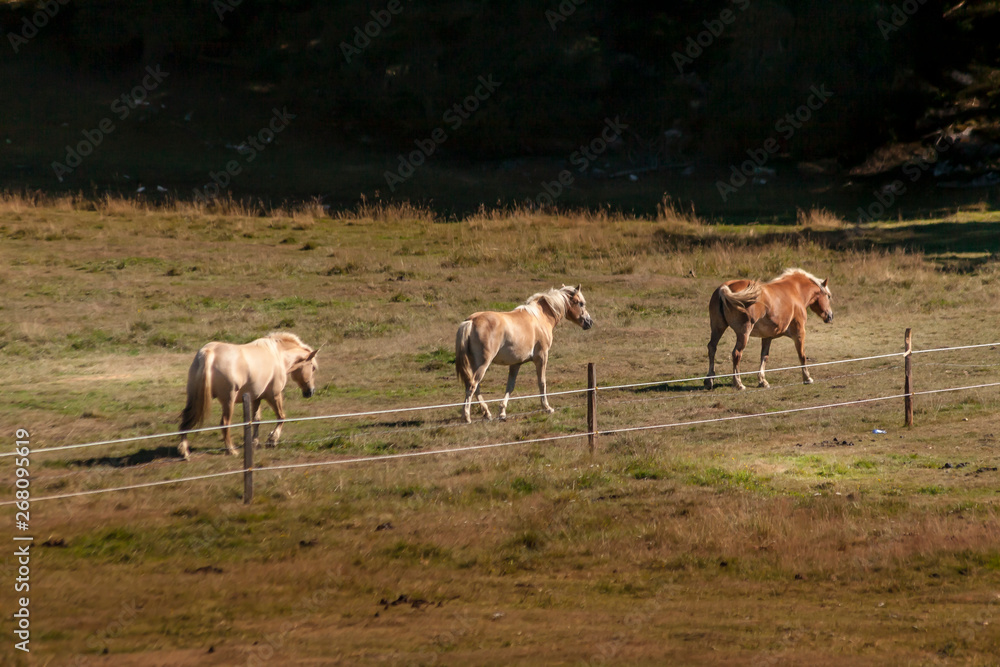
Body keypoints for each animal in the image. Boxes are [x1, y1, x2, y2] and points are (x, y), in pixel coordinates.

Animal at [178, 332, 319, 460]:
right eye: (313, 368)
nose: (310, 391)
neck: (278, 355)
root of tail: (209, 352)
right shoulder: (274, 395)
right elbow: (281, 417)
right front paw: (272, 440)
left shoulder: (256, 398)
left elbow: (256, 420)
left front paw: (254, 443)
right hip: (228, 401)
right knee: (225, 423)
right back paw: (231, 450)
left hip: (194, 398)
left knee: (186, 418)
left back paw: (185, 451)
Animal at [455, 285, 594, 423]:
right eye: (581, 303)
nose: (589, 322)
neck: (541, 317)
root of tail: (471, 321)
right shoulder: (542, 357)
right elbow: (542, 382)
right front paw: (547, 407)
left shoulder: (516, 363)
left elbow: (510, 386)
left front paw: (502, 412)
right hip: (483, 363)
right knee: (472, 385)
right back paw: (466, 416)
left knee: (475, 386)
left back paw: (487, 413)